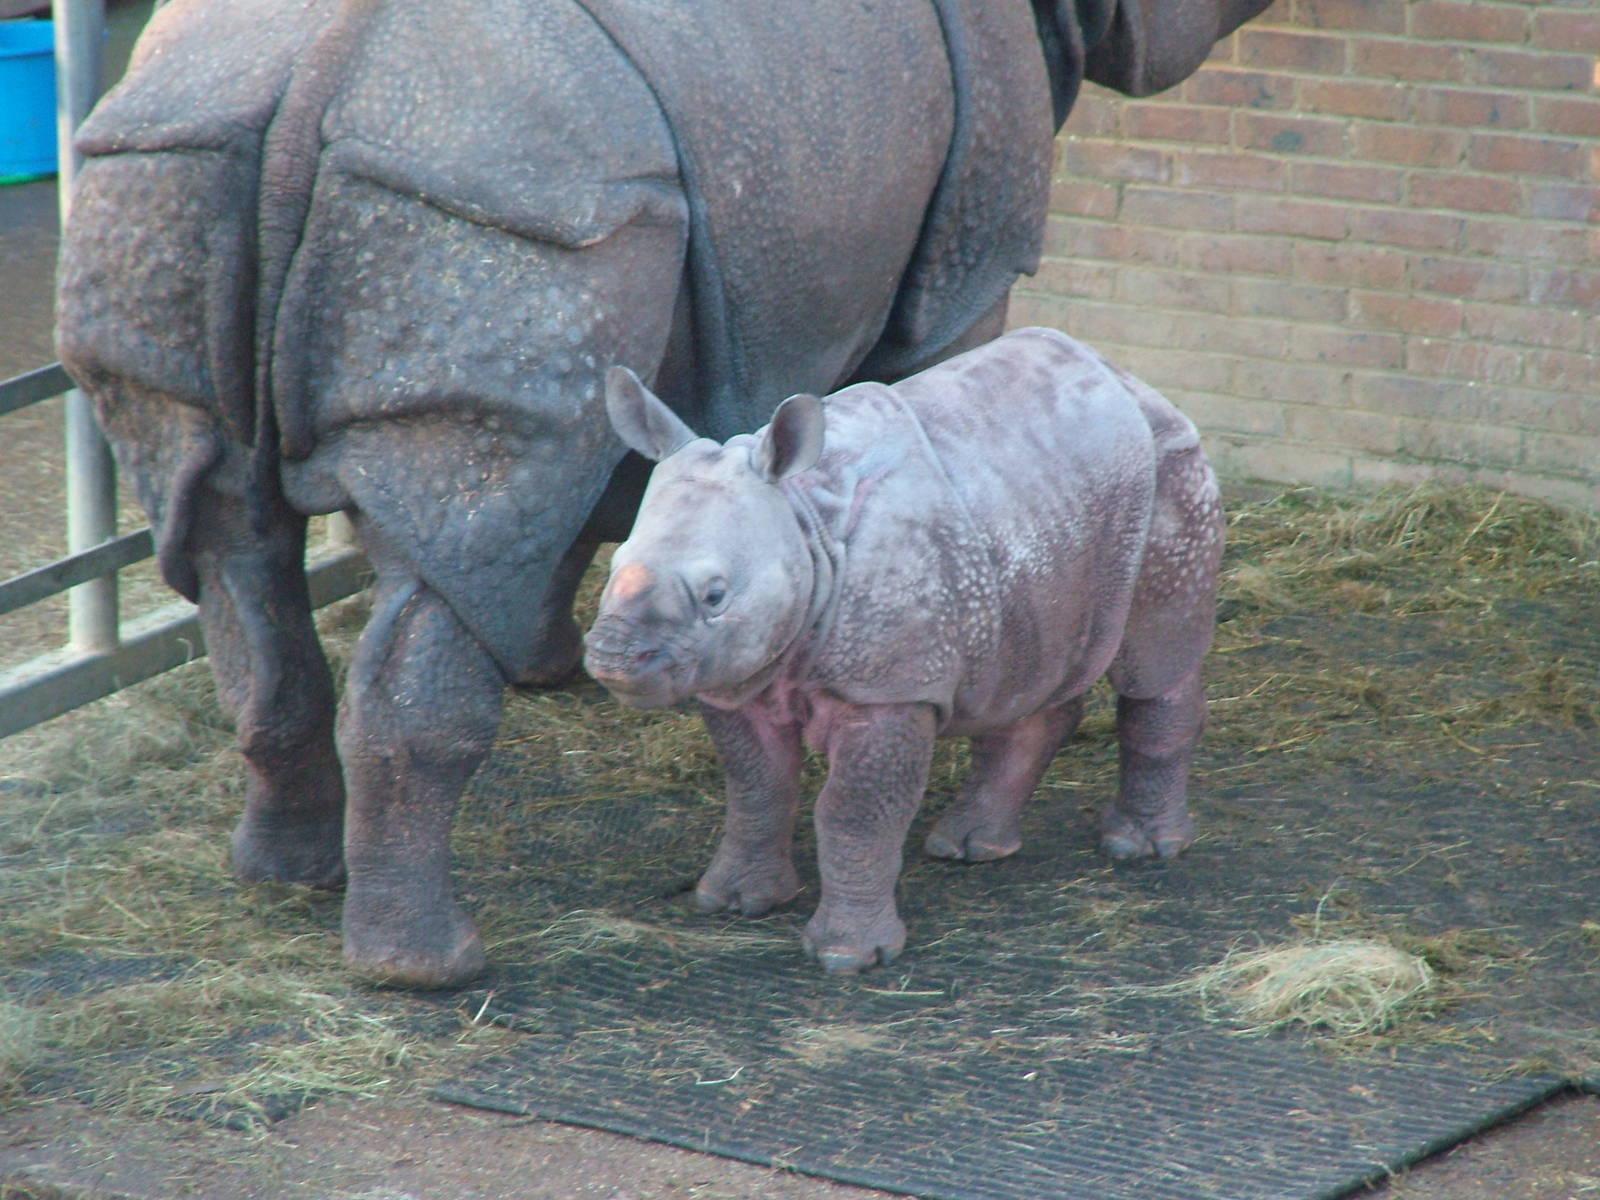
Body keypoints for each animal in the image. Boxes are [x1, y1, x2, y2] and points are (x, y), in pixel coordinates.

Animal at [586, 327, 1224, 971]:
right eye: (612, 567)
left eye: (715, 595)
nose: (613, 657)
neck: (801, 521)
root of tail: (1127, 379)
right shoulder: (741, 675)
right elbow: (756, 786)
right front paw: (735, 902)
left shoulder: (890, 688)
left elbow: (854, 812)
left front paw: (847, 957)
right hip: (1041, 505)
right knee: (1030, 672)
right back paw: (972, 847)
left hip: (1172, 472)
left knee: (1155, 663)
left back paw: (1141, 846)